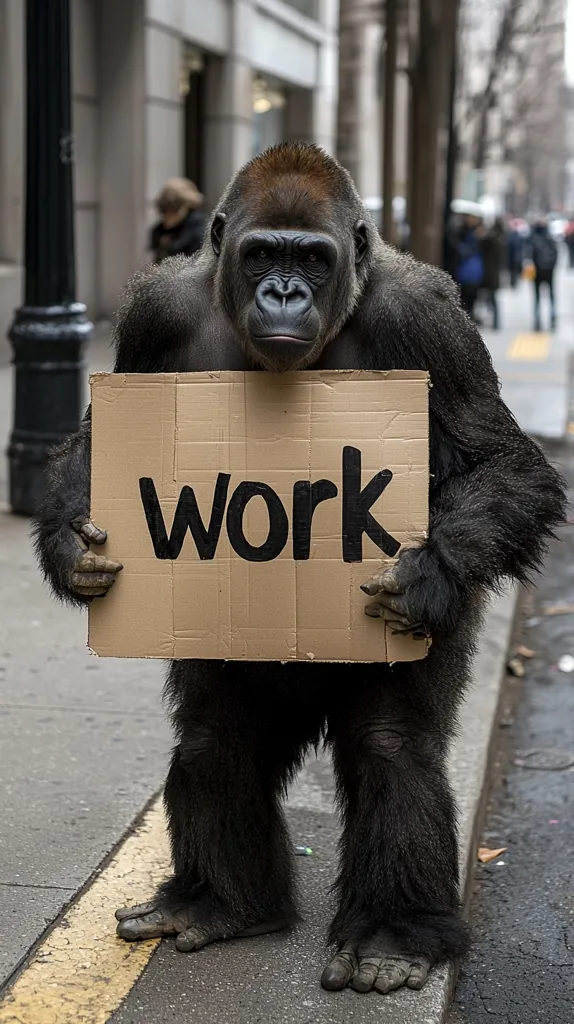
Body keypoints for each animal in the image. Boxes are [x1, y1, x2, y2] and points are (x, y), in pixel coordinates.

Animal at [33, 143, 566, 995]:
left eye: (312, 259)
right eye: (262, 256)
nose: (283, 292)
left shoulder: (429, 319)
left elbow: (505, 464)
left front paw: (426, 573)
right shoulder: (155, 311)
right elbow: (94, 438)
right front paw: (71, 550)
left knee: (392, 744)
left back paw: (392, 935)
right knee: (216, 734)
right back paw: (220, 902)